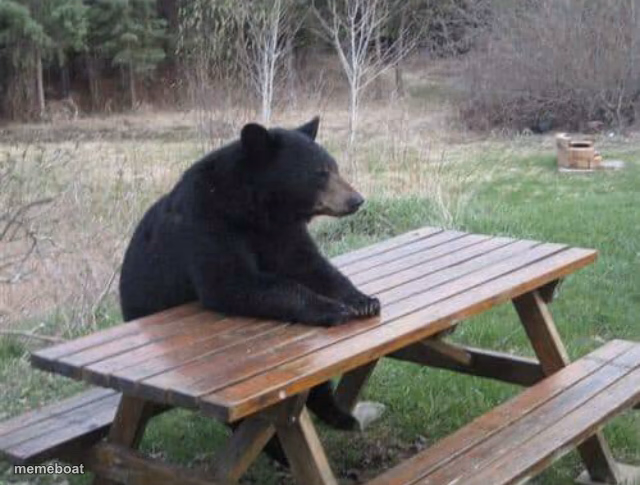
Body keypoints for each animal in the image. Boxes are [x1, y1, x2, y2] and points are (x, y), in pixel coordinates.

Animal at [119, 117, 382, 462]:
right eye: (319, 173)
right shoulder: (207, 222)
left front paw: (363, 300)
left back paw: (340, 416)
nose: (357, 200)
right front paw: (332, 309)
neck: (256, 208)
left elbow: (311, 265)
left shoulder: (281, 231)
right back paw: (279, 450)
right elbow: (233, 282)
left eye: (334, 167)